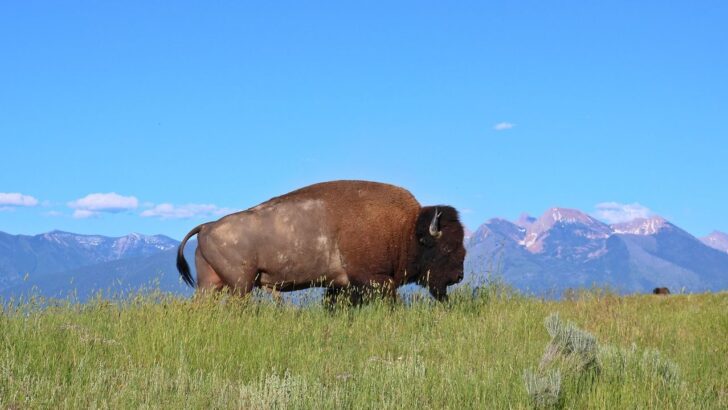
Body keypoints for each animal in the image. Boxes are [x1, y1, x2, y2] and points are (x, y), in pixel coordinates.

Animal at [177, 180, 466, 302]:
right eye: (447, 247)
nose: (458, 276)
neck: (405, 229)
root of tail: (207, 226)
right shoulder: (375, 280)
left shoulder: (340, 285)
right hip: (241, 285)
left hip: (210, 284)